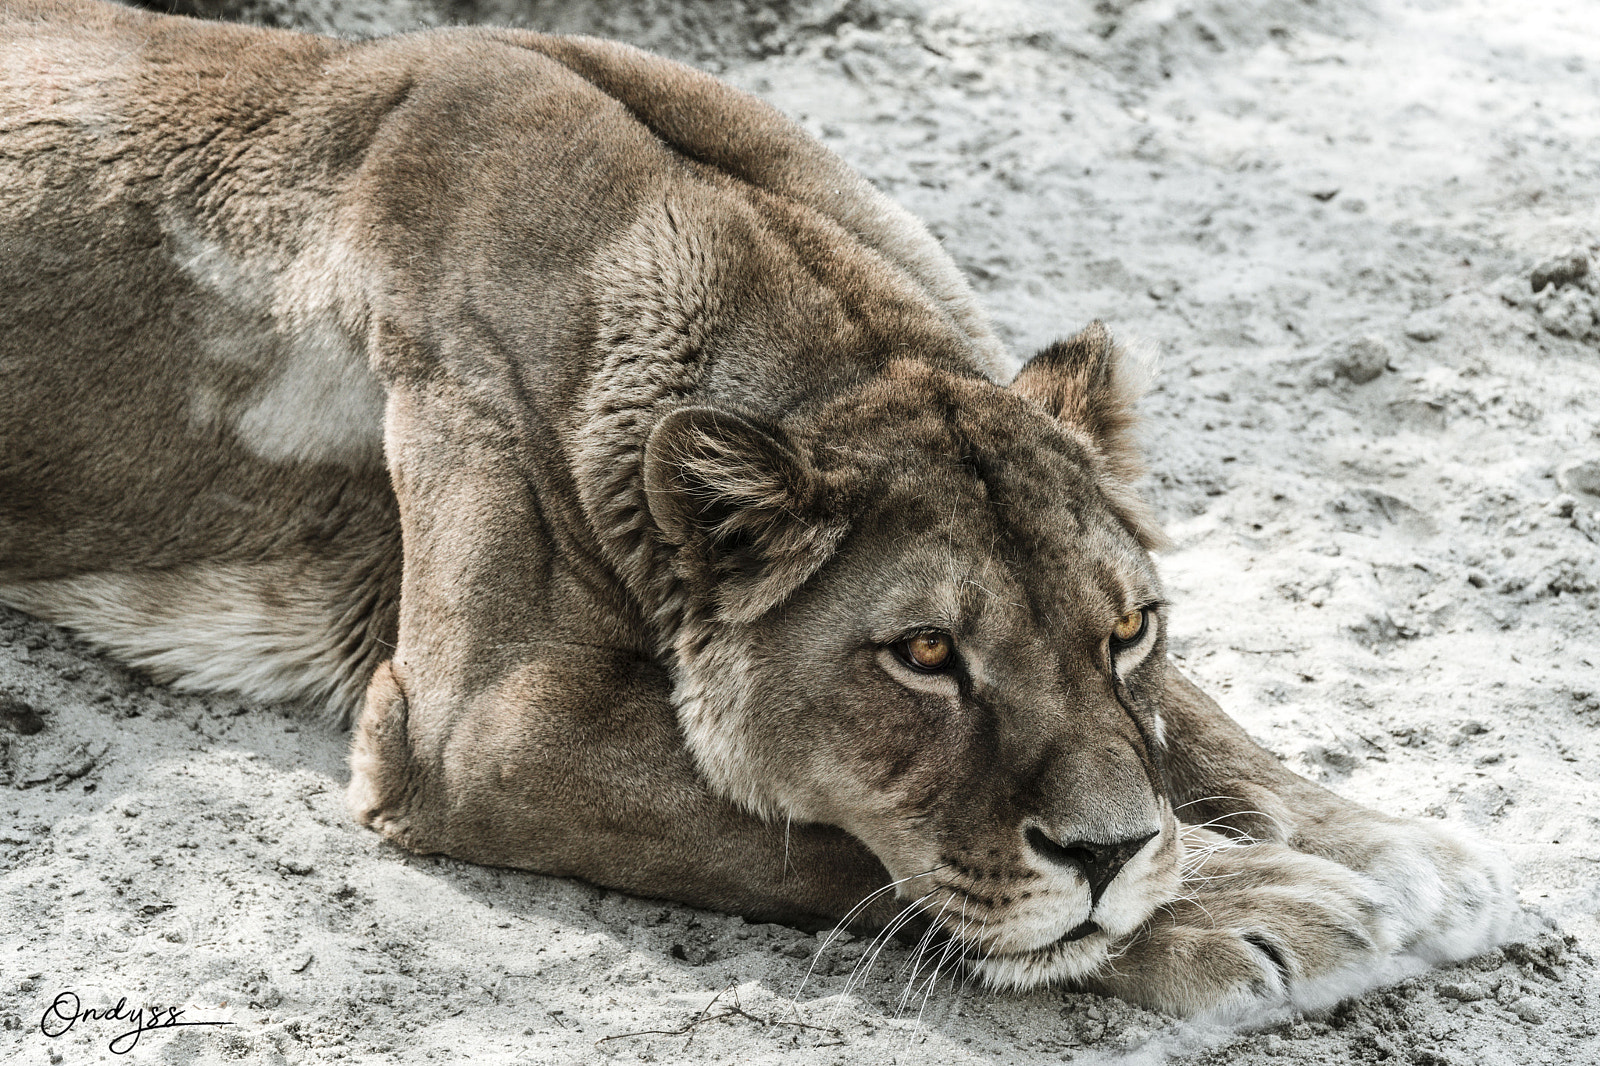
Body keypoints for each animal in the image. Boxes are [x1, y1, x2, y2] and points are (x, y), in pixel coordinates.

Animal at [0, 0, 1512, 1016]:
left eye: (1130, 626)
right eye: (923, 655)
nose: (1103, 851)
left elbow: (1195, 727)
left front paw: (1394, 850)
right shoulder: (474, 730)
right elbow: (811, 835)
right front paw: (1236, 905)